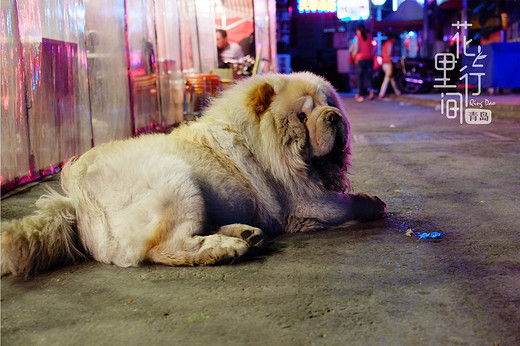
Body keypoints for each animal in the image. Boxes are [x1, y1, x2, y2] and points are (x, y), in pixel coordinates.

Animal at [1, 71, 386, 278]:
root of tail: (75, 198)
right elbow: (345, 203)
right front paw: (372, 203)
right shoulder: (303, 202)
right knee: (168, 247)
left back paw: (245, 233)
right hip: (179, 183)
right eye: (303, 117)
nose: (335, 116)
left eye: (328, 103)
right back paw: (228, 247)